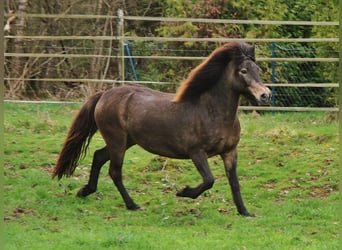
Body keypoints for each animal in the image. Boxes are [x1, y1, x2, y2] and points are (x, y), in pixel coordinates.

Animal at [52, 41, 272, 217]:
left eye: (257, 69)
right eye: (243, 71)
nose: (265, 95)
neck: (211, 112)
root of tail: (104, 94)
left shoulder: (229, 152)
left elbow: (234, 183)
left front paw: (245, 212)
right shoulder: (196, 152)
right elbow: (209, 180)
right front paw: (183, 192)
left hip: (126, 141)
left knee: (98, 156)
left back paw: (85, 191)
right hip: (117, 141)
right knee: (115, 171)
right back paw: (133, 205)